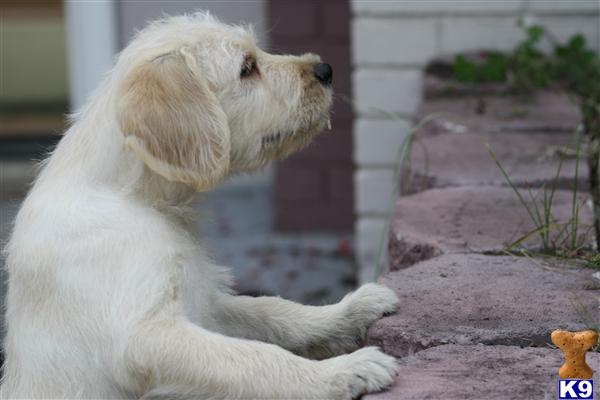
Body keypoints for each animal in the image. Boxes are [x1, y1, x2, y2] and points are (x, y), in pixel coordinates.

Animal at [3, 12, 404, 400]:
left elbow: (273, 311)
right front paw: (340, 372)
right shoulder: (143, 335)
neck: (134, 197)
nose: (325, 69)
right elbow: (255, 357)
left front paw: (347, 313)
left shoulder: (205, 305)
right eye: (246, 68)